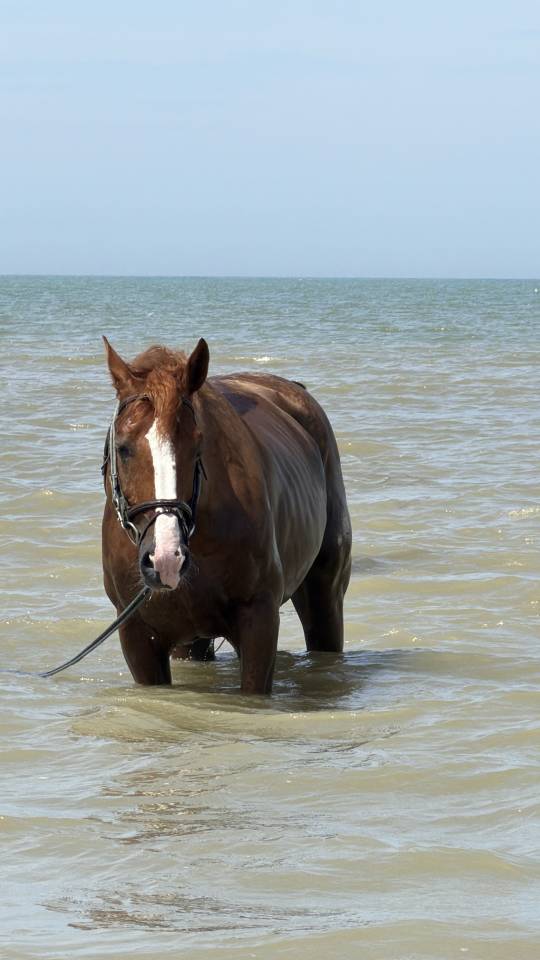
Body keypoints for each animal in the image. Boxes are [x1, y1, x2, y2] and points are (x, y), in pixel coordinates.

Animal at [101, 337, 352, 694]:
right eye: (122, 447)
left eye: (197, 445)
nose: (166, 557)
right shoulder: (139, 637)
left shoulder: (258, 623)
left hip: (325, 596)